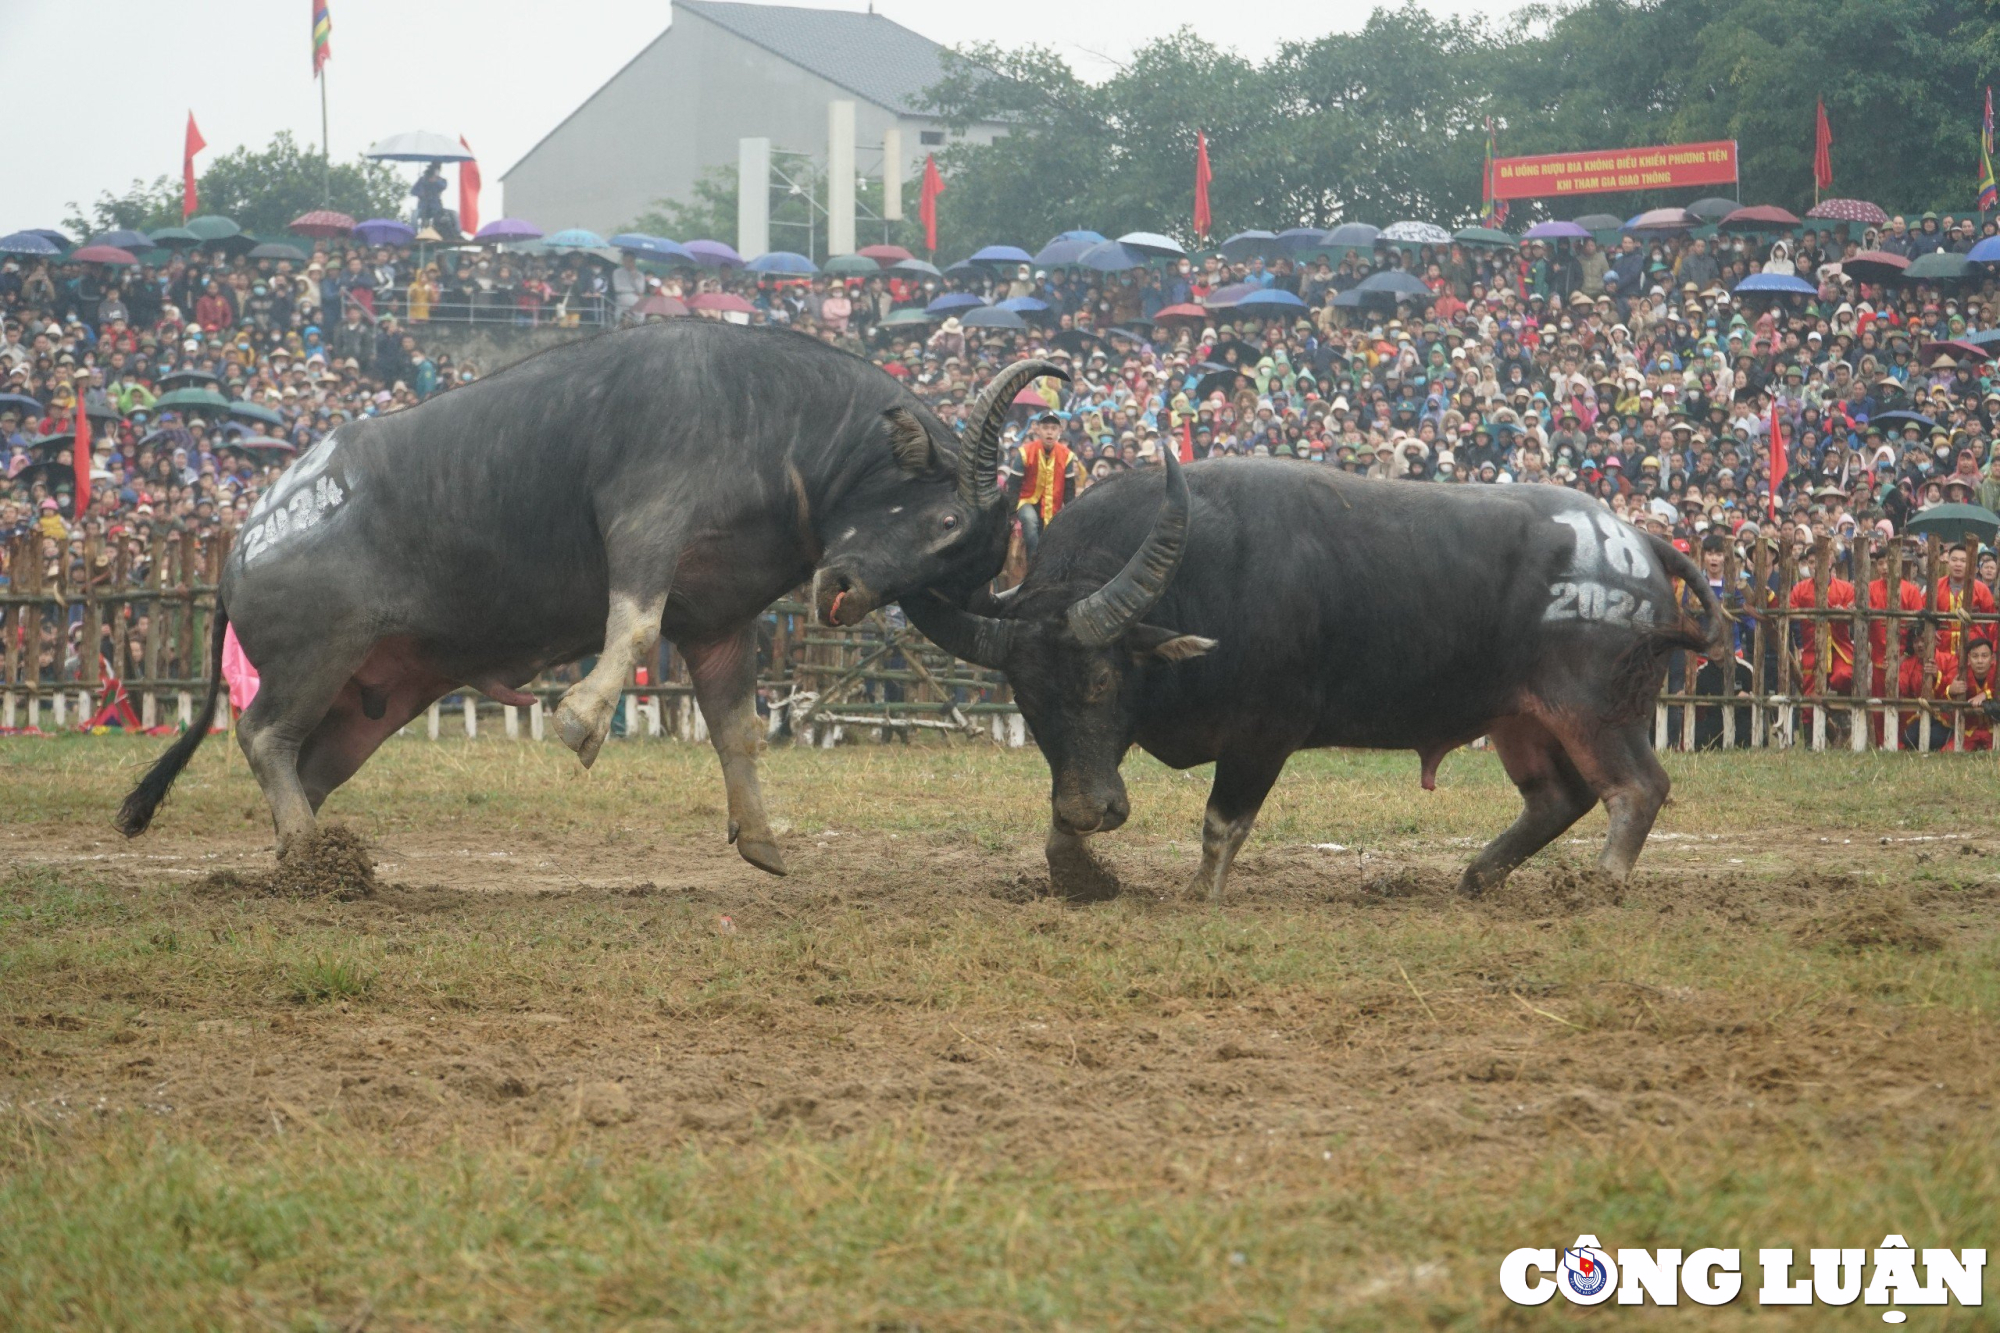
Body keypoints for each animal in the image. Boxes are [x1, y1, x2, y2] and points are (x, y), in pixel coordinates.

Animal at [119, 322, 1064, 872]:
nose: (846, 592)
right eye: (946, 515)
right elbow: (635, 628)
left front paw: (760, 838)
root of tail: (249, 535)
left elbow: (738, 731)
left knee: (306, 766)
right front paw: (578, 720)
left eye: (960, 571)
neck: (777, 427)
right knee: (260, 734)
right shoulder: (645, 523)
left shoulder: (721, 624)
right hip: (317, 658)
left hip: (367, 703)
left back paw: (305, 857)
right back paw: (307, 850)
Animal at [912, 452, 1736, 896]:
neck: (1197, 573)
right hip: (1519, 718)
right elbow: (1062, 822)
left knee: (1637, 788)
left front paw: (1197, 892)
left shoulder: (1263, 734)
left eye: (1103, 683)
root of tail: (1638, 541)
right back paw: (1476, 877)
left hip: (1596, 709)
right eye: (1029, 699)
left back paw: (1600, 882)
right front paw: (1081, 871)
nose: (1095, 811)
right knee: (1557, 798)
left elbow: (1221, 823)